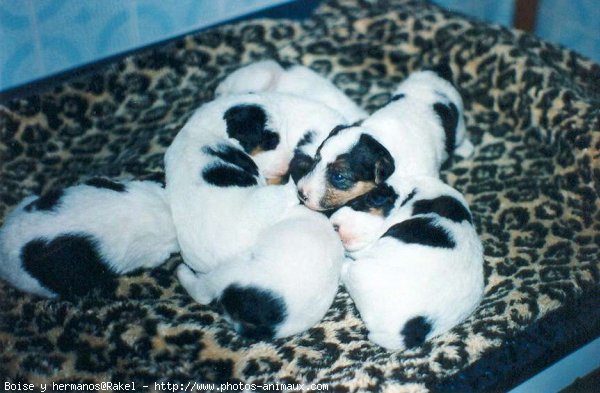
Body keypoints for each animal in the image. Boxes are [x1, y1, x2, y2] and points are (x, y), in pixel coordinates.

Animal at [296, 66, 474, 211]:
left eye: (339, 177)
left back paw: (465, 149)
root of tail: (436, 72)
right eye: (315, 160)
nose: (300, 193)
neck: (381, 140)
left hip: (458, 122)